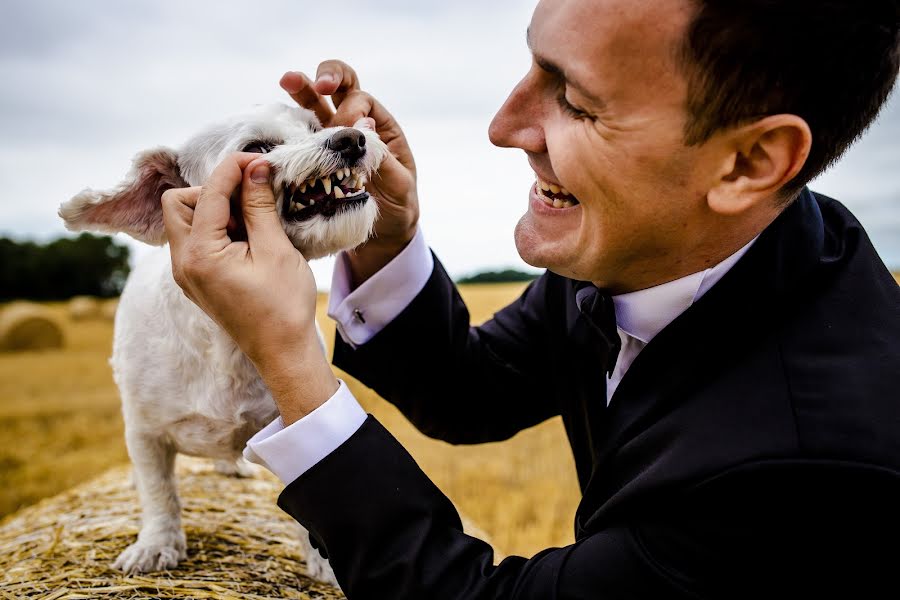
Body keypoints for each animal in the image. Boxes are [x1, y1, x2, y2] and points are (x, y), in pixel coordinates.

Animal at [58, 103, 388, 584]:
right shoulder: (143, 433)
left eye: (313, 126)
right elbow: (159, 492)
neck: (225, 342)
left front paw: (326, 562)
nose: (352, 138)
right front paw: (156, 545)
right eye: (258, 148)